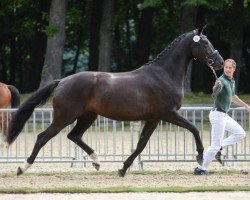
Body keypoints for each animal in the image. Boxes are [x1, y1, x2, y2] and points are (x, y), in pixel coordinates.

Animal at [3, 26, 223, 177]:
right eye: (204, 43)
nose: (220, 62)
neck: (164, 75)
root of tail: (62, 81)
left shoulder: (153, 119)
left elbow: (141, 145)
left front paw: (123, 168)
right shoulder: (167, 114)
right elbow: (194, 128)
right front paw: (202, 157)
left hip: (88, 116)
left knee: (74, 136)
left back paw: (97, 161)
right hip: (64, 118)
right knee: (43, 137)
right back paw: (22, 167)